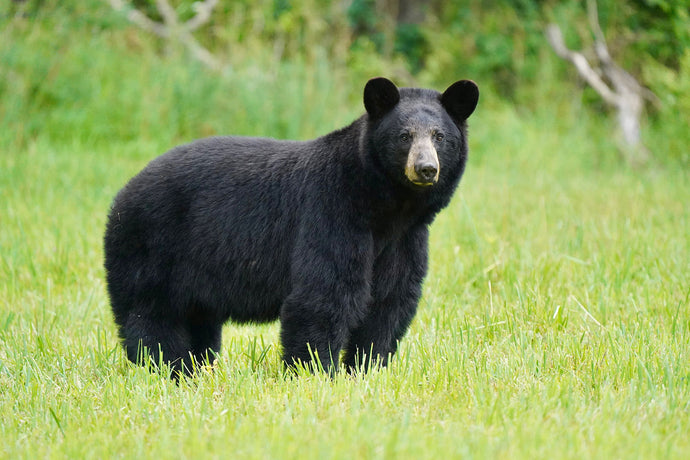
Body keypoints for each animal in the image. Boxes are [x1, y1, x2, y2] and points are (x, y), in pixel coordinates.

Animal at [103, 77, 478, 376]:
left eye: (439, 136)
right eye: (404, 136)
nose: (426, 168)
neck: (385, 207)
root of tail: (122, 193)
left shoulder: (405, 239)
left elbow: (390, 300)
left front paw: (366, 369)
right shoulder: (331, 213)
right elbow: (323, 293)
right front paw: (316, 373)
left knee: (199, 321)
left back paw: (195, 367)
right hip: (151, 245)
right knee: (151, 315)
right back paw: (166, 367)